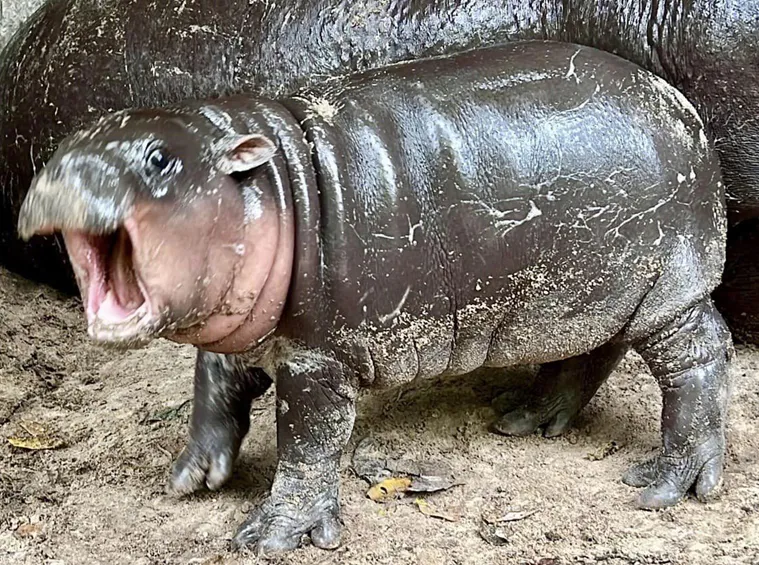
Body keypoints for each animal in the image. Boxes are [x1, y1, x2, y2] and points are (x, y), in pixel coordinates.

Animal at [18, 42, 732, 553]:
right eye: (65, 144)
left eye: (160, 158)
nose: (61, 174)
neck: (276, 187)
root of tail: (684, 107)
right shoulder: (242, 329)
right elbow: (213, 391)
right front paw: (191, 476)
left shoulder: (316, 360)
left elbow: (309, 443)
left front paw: (270, 537)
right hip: (581, 297)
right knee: (589, 353)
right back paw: (523, 416)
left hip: (668, 293)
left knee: (701, 357)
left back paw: (665, 485)